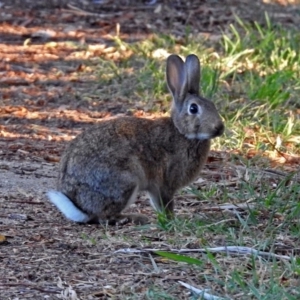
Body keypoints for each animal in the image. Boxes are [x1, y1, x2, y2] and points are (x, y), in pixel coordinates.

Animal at [47, 52, 224, 224]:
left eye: (213, 105)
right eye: (193, 109)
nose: (220, 128)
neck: (181, 131)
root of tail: (81, 208)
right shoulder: (165, 182)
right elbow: (165, 203)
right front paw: (172, 220)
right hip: (125, 181)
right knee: (105, 217)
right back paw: (132, 218)